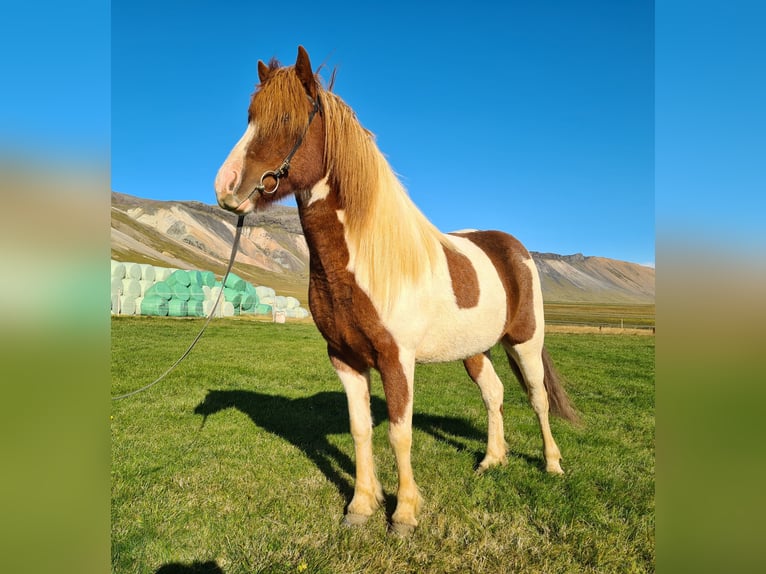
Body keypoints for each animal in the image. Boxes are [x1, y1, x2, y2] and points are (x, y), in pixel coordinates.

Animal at [213, 47, 580, 536]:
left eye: (287, 117)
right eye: (250, 116)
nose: (226, 186)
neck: (364, 260)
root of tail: (513, 247)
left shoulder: (396, 359)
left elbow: (398, 433)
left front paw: (404, 513)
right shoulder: (345, 359)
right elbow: (361, 429)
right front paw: (360, 506)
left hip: (526, 341)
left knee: (538, 399)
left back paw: (552, 464)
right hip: (475, 350)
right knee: (495, 394)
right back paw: (491, 460)